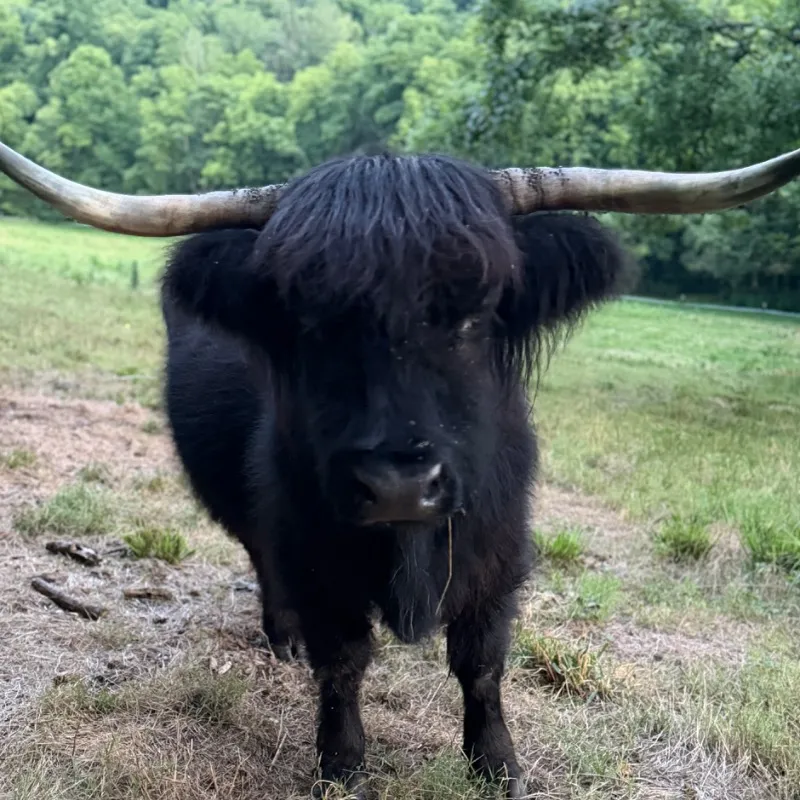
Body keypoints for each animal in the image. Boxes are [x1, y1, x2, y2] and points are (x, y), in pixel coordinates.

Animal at [2, 140, 799, 799]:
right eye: (309, 322)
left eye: (476, 313)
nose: (398, 485)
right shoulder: (314, 559)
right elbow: (342, 661)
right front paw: (342, 767)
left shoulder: (499, 550)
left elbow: (482, 664)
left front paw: (498, 768)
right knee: (263, 565)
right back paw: (280, 637)